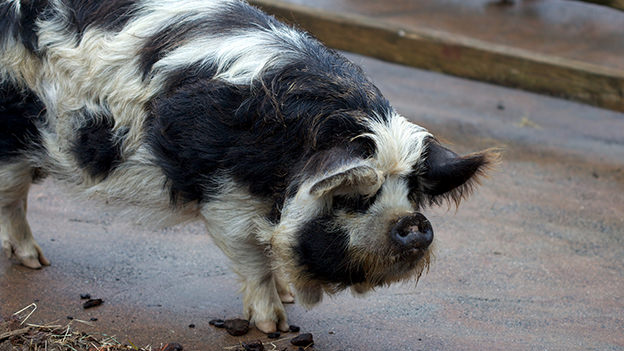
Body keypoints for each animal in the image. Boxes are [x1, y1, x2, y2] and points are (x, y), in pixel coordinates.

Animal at [0, 0, 498, 336]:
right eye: (355, 197)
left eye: (414, 192)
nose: (413, 224)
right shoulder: (226, 201)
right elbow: (253, 259)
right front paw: (275, 326)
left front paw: (288, 297)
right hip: (10, 147)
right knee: (13, 203)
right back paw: (36, 263)